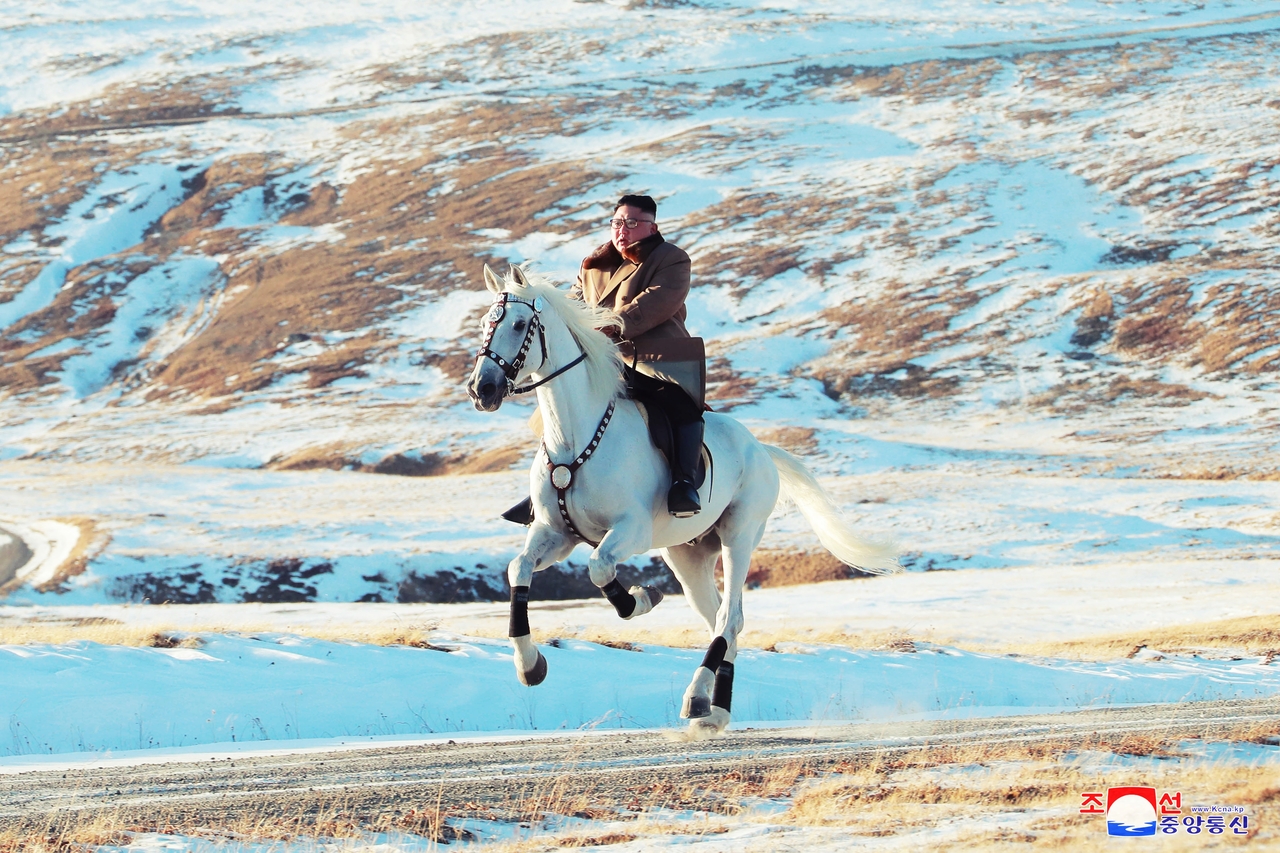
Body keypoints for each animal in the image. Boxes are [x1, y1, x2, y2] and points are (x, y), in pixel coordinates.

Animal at [465, 267, 896, 737]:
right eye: (485, 324)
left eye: (519, 325)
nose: (482, 389)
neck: (576, 436)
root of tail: (760, 448)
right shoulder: (556, 534)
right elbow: (518, 569)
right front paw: (530, 665)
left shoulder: (630, 530)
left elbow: (599, 568)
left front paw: (641, 598)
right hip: (687, 555)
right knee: (722, 619)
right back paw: (715, 709)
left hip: (739, 535)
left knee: (728, 618)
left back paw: (696, 699)